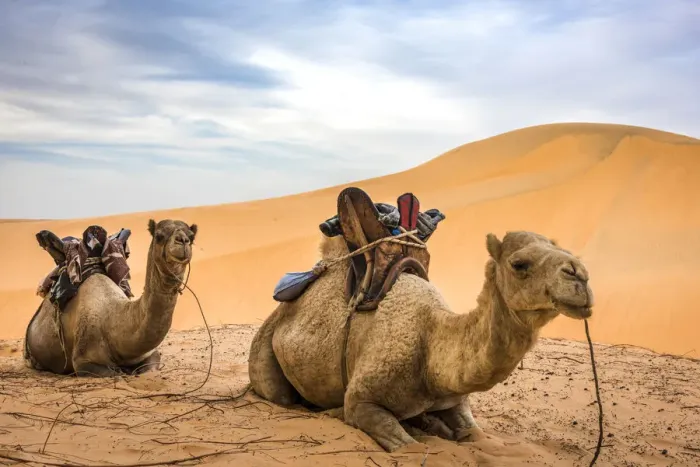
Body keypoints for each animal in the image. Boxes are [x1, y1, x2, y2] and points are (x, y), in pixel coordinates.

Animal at [24, 219, 197, 377]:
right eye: (159, 236)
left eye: (192, 236)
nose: (182, 241)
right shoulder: (83, 362)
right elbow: (115, 373)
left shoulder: (151, 354)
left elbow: (149, 368)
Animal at [249, 230, 593, 452]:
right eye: (519, 264)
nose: (580, 275)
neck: (430, 343)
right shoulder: (362, 400)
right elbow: (408, 448)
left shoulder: (455, 400)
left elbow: (476, 434)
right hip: (264, 350)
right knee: (280, 395)